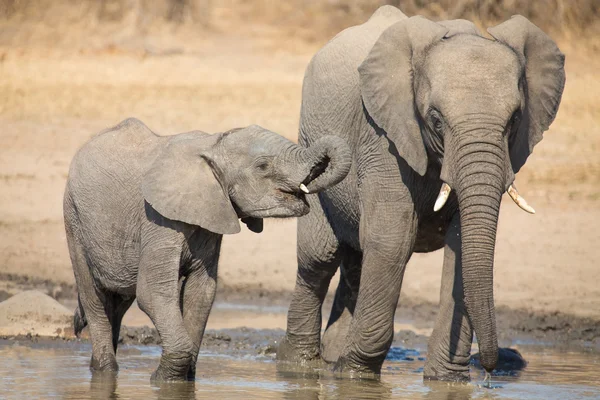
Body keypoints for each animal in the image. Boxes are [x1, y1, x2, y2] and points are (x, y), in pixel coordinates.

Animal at [63, 118, 352, 382]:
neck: (212, 145)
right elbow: (153, 291)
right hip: (73, 219)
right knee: (94, 299)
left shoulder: (212, 217)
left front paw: (184, 378)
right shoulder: (157, 218)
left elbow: (201, 292)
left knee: (119, 302)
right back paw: (106, 371)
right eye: (262, 166)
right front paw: (162, 381)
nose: (311, 187)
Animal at [278, 6, 564, 382]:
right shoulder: (383, 136)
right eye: (436, 119)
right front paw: (356, 376)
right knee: (318, 259)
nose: (490, 369)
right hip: (312, 148)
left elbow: (462, 245)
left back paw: (330, 357)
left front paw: (448, 381)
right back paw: (298, 366)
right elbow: (393, 239)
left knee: (356, 258)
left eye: (515, 119)